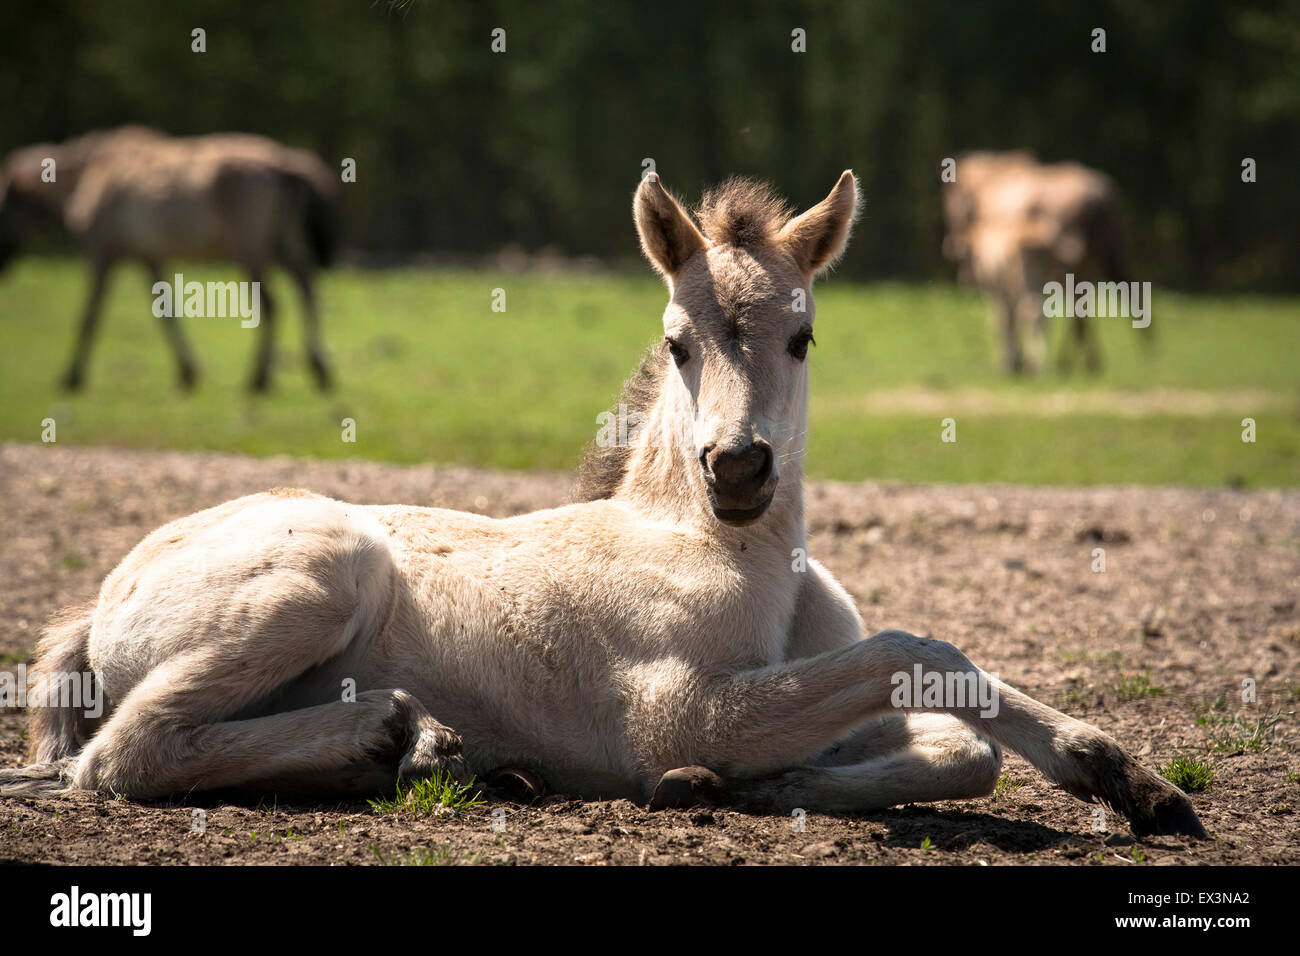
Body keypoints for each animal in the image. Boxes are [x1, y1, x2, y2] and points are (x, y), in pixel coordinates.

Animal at [0, 126, 340, 390]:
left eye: (3, 204)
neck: (91, 174)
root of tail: (287, 165)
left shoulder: (103, 253)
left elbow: (89, 315)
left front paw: (72, 375)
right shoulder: (150, 258)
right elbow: (167, 313)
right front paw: (187, 370)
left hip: (249, 248)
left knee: (271, 304)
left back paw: (259, 377)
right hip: (280, 242)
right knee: (306, 286)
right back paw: (319, 368)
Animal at [941, 151, 1133, 374]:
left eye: (951, 200)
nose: (951, 245)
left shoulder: (997, 285)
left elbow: (1003, 318)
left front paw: (1011, 362)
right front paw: (1018, 361)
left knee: (1042, 312)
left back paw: (1049, 363)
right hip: (1086, 266)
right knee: (1077, 312)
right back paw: (1080, 362)